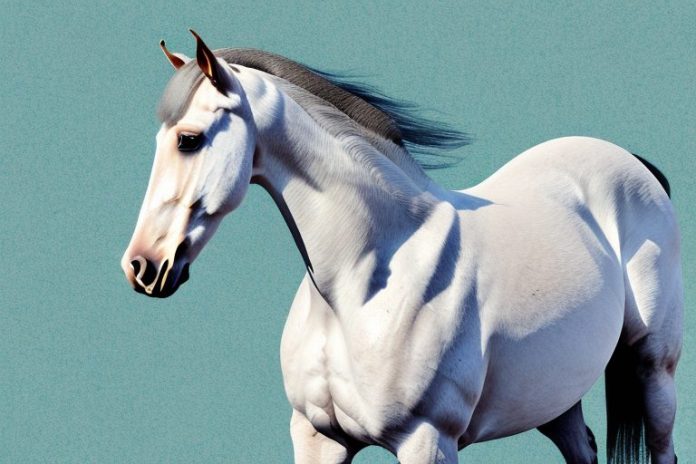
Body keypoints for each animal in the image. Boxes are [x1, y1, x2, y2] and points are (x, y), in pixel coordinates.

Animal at [121, 31, 683, 463]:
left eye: (189, 139)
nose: (142, 267)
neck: (362, 282)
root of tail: (634, 164)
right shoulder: (317, 438)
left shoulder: (427, 439)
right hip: (554, 395)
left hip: (653, 369)